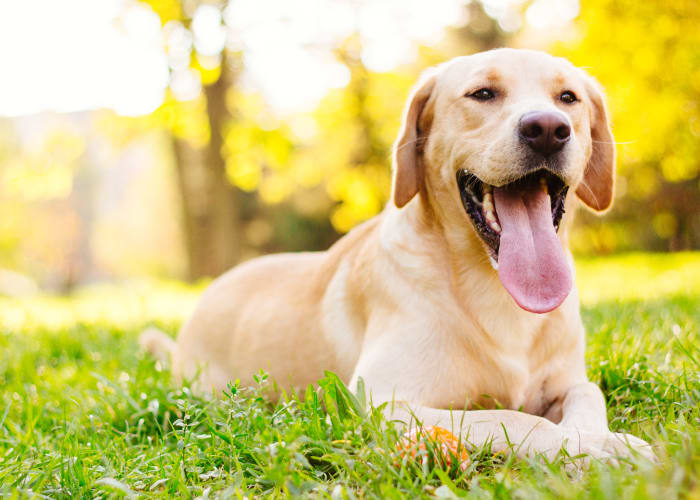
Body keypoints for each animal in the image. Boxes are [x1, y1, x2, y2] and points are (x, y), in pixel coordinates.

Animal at [142, 48, 656, 462]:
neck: (493, 286)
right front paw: (590, 447)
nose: (547, 128)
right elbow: (512, 419)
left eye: (568, 98)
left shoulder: (569, 381)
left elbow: (588, 396)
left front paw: (602, 438)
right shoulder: (383, 401)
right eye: (483, 93)